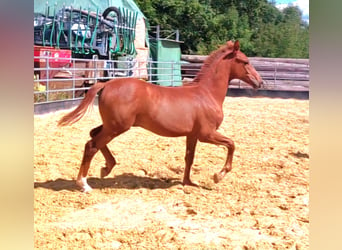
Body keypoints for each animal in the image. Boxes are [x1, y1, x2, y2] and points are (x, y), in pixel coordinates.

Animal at [58, 40, 262, 191]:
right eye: (245, 62)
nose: (259, 82)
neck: (206, 94)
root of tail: (107, 84)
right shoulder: (207, 134)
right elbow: (231, 144)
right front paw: (218, 175)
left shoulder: (193, 135)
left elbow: (189, 157)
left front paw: (188, 182)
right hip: (117, 127)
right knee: (92, 145)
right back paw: (84, 184)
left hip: (112, 125)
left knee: (93, 135)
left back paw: (107, 167)